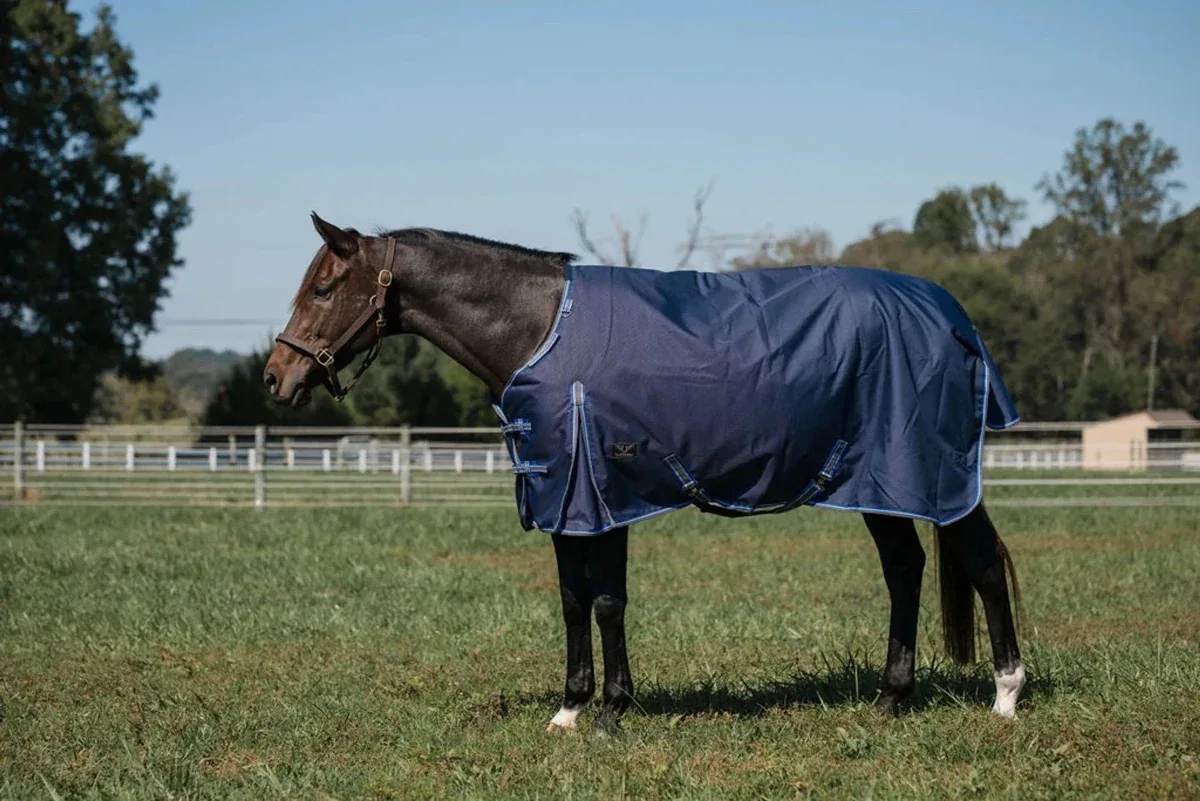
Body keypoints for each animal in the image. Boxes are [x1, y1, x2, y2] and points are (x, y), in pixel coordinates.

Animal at [264, 212, 1025, 732]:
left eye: (325, 287)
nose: (276, 376)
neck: (542, 329)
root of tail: (951, 316)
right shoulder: (563, 500)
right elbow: (574, 600)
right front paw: (571, 709)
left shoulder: (604, 495)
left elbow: (606, 601)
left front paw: (610, 710)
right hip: (878, 483)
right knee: (905, 568)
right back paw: (892, 697)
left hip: (930, 473)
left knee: (981, 562)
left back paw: (1006, 695)